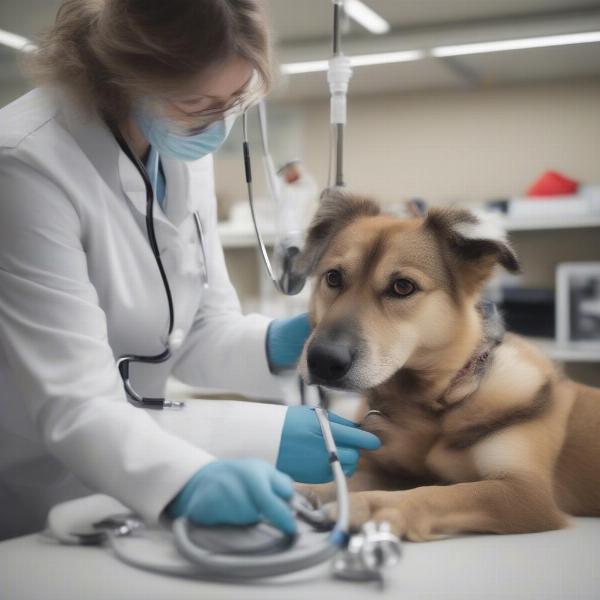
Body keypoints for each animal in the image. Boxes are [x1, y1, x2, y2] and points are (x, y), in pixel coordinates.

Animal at [296, 190, 600, 540]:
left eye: (403, 286)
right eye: (333, 277)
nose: (323, 361)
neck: (433, 405)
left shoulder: (525, 492)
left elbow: (441, 494)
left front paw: (368, 506)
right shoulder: (387, 468)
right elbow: (344, 481)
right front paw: (301, 489)